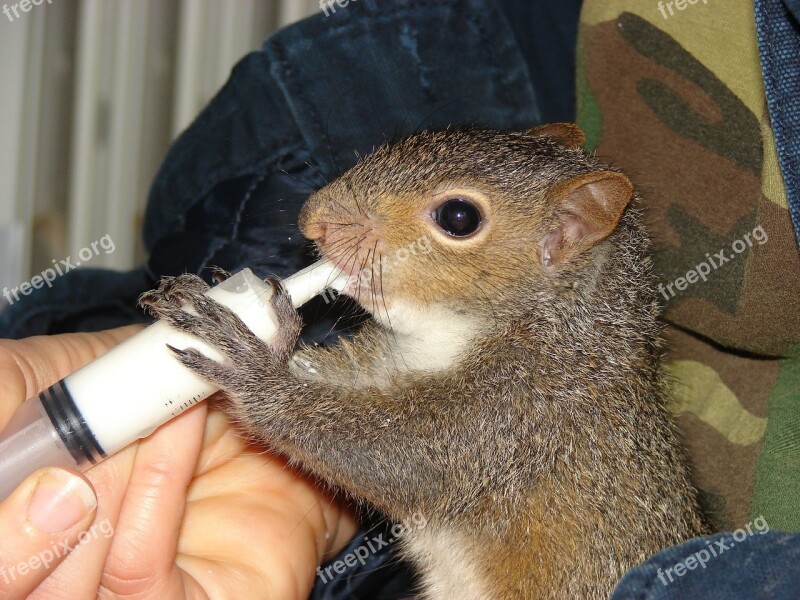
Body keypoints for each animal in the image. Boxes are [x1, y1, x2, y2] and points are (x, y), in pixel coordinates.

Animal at [142, 123, 708, 600]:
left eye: (459, 218)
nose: (312, 219)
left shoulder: (523, 412)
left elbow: (401, 456)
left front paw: (252, 369)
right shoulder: (387, 363)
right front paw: (269, 330)